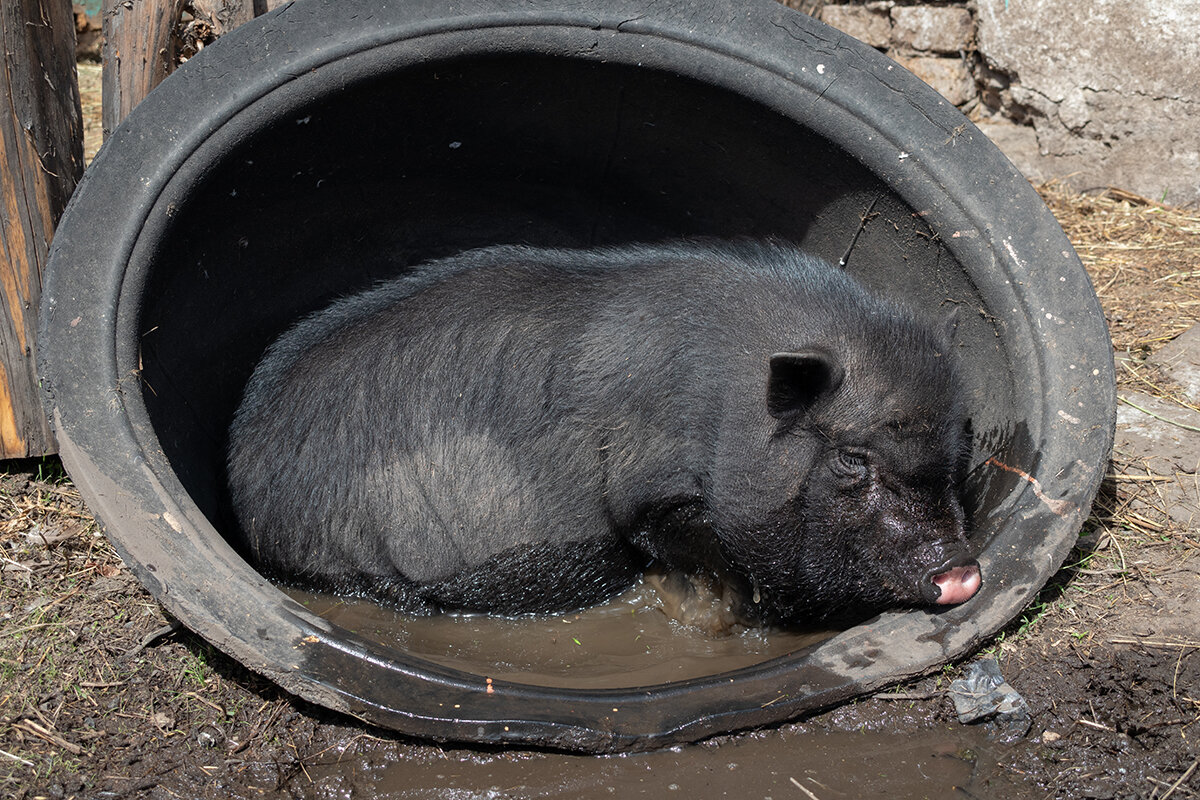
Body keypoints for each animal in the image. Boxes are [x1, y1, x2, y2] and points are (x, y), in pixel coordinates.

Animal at [226, 241, 984, 628]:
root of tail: (243, 474)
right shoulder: (650, 486)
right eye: (853, 458)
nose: (963, 574)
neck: (723, 411)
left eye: (958, 449)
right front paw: (719, 610)